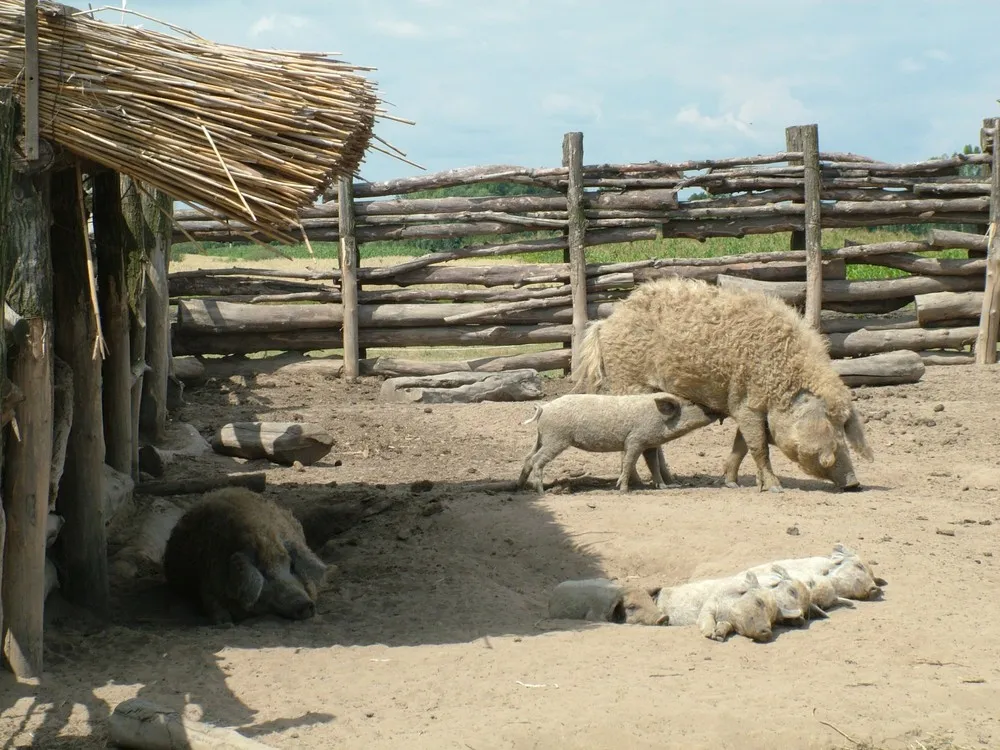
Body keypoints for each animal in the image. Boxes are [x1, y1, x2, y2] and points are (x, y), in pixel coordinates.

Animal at [163, 487, 335, 625]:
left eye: (291, 567)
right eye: (263, 573)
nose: (307, 605)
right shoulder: (206, 580)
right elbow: (212, 604)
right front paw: (225, 623)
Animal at [516, 392, 720, 494]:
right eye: (691, 404)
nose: (717, 409)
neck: (659, 418)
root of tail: (544, 407)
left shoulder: (650, 445)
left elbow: (653, 466)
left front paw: (664, 487)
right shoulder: (635, 440)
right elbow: (629, 462)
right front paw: (623, 490)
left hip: (541, 438)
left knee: (528, 457)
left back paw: (519, 486)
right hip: (556, 439)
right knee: (536, 460)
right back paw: (541, 492)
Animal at [574, 277, 874, 493]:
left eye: (844, 425)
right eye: (830, 424)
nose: (854, 483)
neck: (781, 378)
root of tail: (604, 323)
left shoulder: (743, 406)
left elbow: (740, 446)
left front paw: (731, 483)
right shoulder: (748, 404)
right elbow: (759, 447)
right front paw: (775, 488)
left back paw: (672, 482)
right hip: (629, 382)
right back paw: (638, 484)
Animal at [652, 571, 800, 642]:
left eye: (773, 619)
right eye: (759, 602)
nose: (768, 632)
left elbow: (725, 626)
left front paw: (718, 635)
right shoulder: (710, 604)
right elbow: (705, 617)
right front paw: (710, 634)